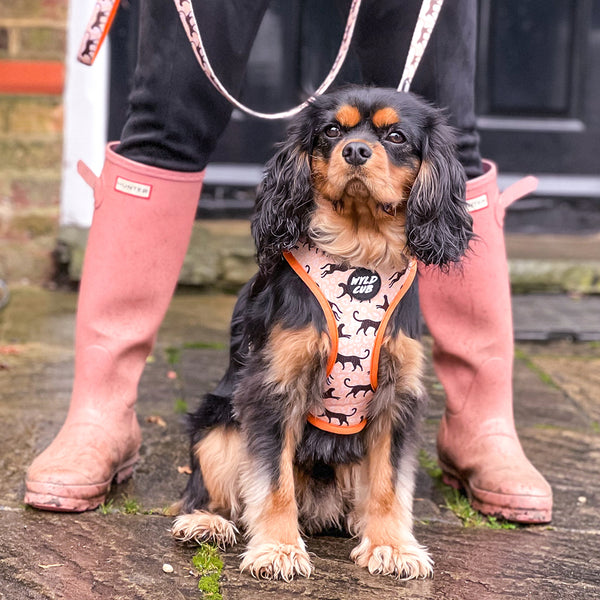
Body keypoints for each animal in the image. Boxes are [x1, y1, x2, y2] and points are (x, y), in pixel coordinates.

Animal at [170, 85, 474, 580]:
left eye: (396, 136)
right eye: (332, 130)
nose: (355, 150)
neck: (360, 252)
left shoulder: (398, 396)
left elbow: (390, 483)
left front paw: (391, 546)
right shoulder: (274, 387)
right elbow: (273, 480)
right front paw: (278, 549)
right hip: (217, 425)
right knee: (218, 492)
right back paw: (206, 523)